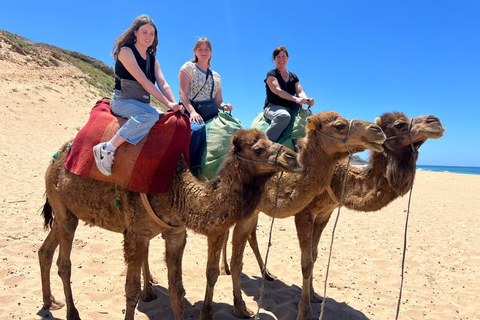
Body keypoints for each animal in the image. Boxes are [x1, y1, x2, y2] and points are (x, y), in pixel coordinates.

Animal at [38, 129, 300, 320]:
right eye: (258, 149)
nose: (292, 156)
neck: (177, 193)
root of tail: (56, 158)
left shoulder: (176, 233)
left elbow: (177, 290)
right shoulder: (135, 234)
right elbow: (130, 290)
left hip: (66, 212)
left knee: (45, 251)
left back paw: (50, 301)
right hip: (64, 211)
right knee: (64, 263)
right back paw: (73, 313)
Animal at [220, 112, 442, 320]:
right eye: (400, 124)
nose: (435, 122)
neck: (339, 177)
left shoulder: (324, 214)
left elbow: (314, 255)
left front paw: (315, 296)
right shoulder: (305, 213)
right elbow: (306, 261)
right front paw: (305, 311)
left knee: (250, 236)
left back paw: (265, 273)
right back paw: (229, 277)